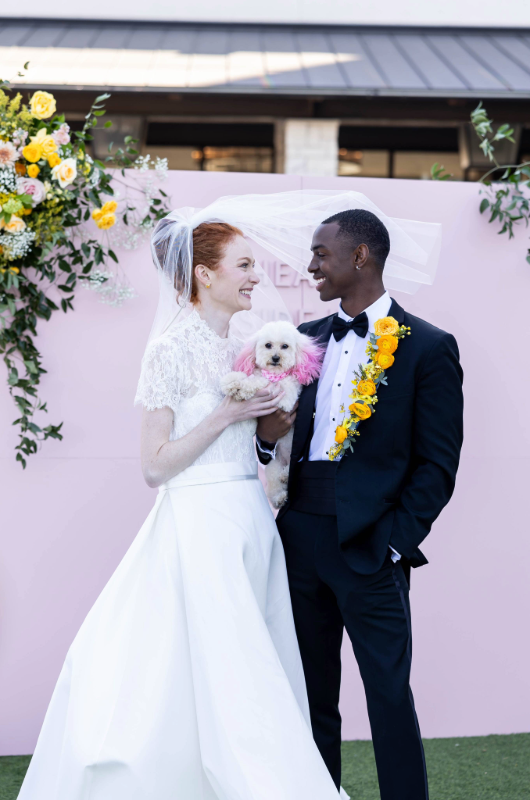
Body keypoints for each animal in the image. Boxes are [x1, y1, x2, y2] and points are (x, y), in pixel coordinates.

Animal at [220, 318, 322, 506]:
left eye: (285, 346)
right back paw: (280, 497)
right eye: (268, 345)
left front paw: (243, 388)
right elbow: (252, 376)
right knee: (274, 487)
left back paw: (286, 476)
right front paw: (232, 381)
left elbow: (260, 382)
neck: (275, 373)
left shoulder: (286, 395)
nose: (275, 358)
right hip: (273, 466)